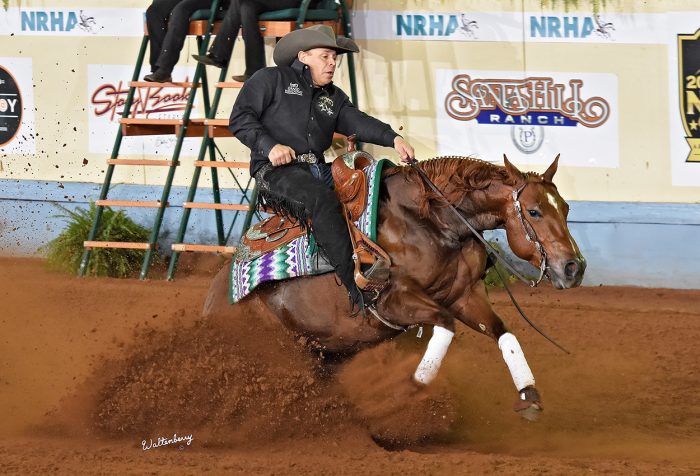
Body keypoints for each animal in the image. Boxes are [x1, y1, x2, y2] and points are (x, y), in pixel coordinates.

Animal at [203, 154, 586, 420]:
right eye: (534, 212)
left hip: (326, 352)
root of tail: (215, 296)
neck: (431, 222)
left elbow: (503, 332)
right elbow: (445, 325)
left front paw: (529, 395)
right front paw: (410, 389)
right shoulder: (393, 302)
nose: (575, 267)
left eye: (566, 208)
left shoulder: (464, 296)